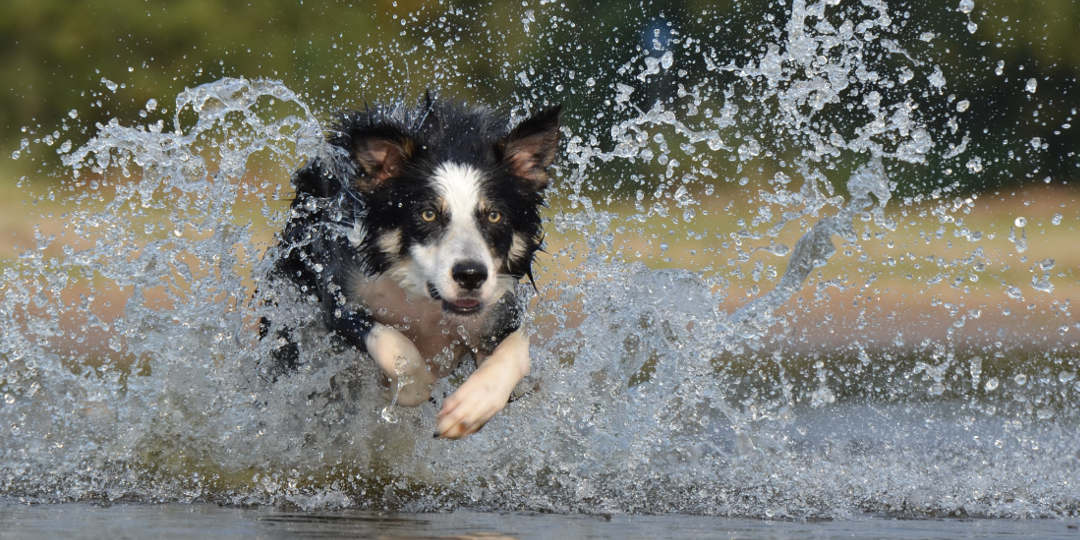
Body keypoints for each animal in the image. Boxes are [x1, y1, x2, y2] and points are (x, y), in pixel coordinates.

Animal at [260, 96, 561, 438]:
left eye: (495, 216)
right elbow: (393, 343)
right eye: (428, 214)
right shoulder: (340, 297)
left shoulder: (498, 311)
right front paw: (412, 387)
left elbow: (517, 351)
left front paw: (471, 407)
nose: (470, 275)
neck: (425, 300)